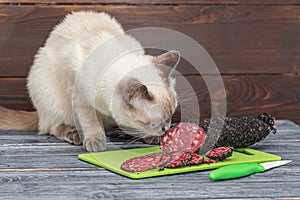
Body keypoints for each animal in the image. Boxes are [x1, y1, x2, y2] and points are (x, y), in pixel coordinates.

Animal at [0, 10, 180, 152]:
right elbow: (90, 121)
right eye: (157, 121)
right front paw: (95, 142)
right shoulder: (80, 96)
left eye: (171, 115)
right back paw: (74, 134)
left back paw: (118, 131)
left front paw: (148, 137)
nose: (166, 129)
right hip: (50, 94)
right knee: (50, 126)